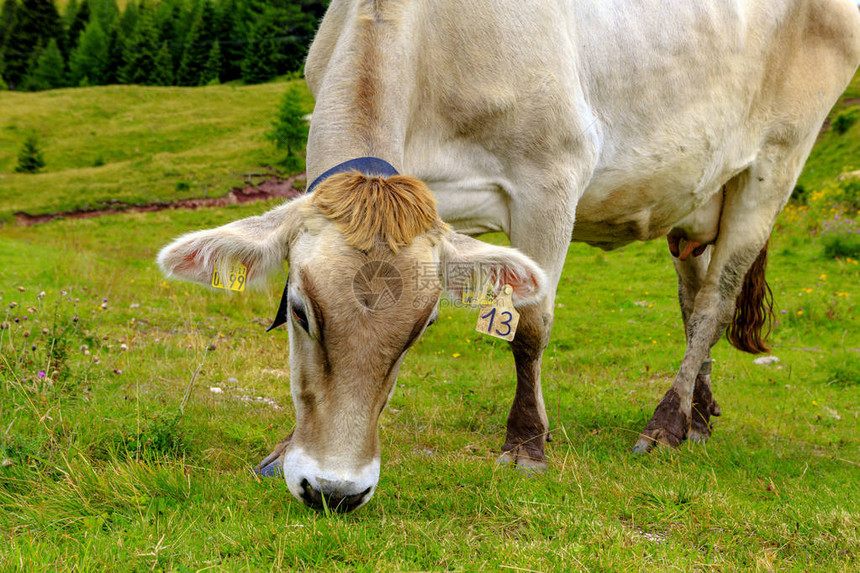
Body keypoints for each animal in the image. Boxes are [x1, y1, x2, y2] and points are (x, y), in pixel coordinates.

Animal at [160, 0, 860, 510]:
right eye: (300, 311)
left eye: (423, 327)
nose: (334, 491)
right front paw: (281, 451)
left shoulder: (550, 180)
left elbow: (528, 325)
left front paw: (526, 444)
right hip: (697, 190)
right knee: (694, 299)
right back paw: (699, 415)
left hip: (775, 163)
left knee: (717, 299)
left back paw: (665, 424)